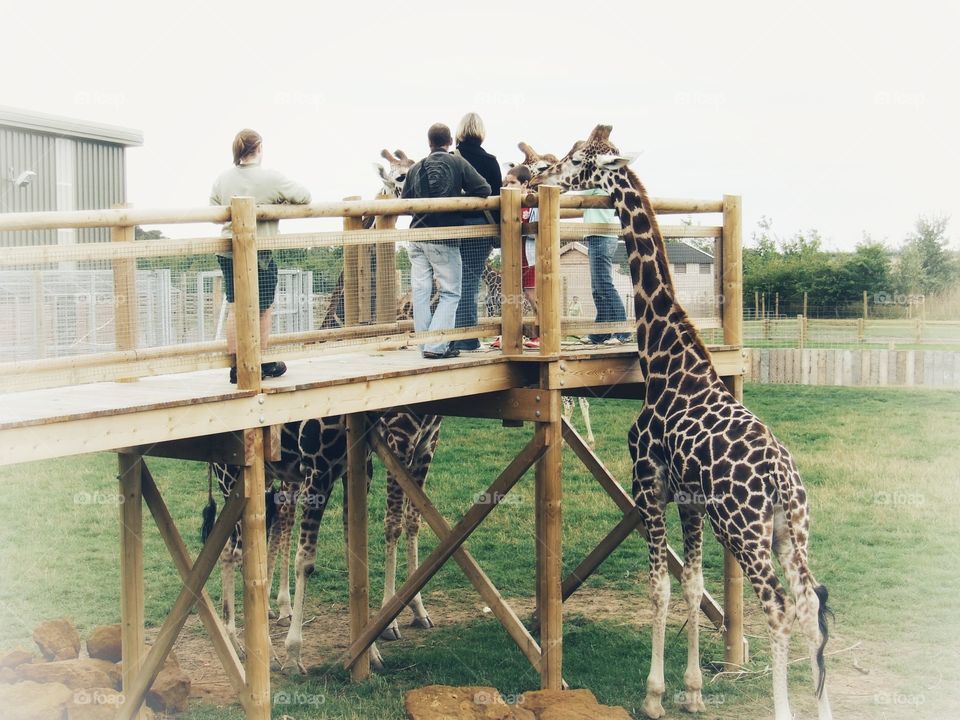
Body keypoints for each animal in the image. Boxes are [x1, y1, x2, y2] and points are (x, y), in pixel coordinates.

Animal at [531, 125, 832, 720]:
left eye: (579, 159)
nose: (545, 172)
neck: (667, 362)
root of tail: (782, 479)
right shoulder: (690, 500)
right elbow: (691, 585)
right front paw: (691, 690)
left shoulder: (648, 484)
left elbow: (661, 589)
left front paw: (654, 695)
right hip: (792, 531)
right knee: (810, 603)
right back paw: (824, 708)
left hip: (743, 527)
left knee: (779, 607)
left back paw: (783, 709)